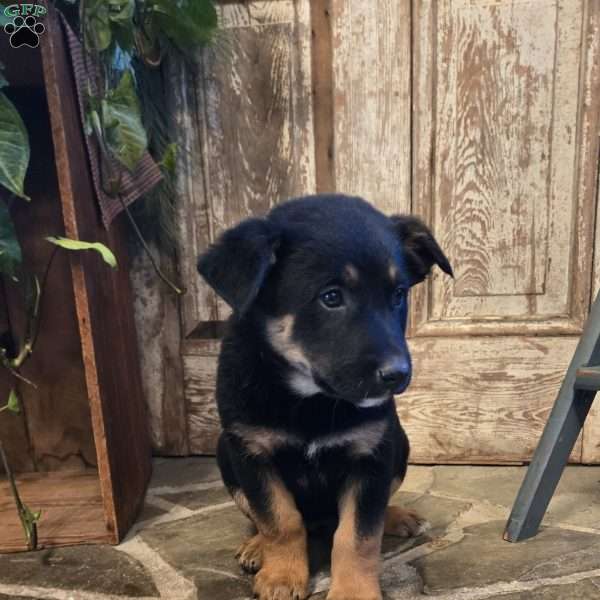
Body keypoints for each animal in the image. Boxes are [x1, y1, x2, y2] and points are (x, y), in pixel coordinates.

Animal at [197, 195, 450, 596]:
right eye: (331, 297)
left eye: (398, 296)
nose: (397, 375)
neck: (310, 400)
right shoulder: (252, 454)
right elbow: (279, 520)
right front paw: (282, 577)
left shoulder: (371, 457)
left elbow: (358, 536)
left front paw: (353, 592)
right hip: (225, 452)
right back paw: (256, 547)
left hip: (400, 445)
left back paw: (396, 517)